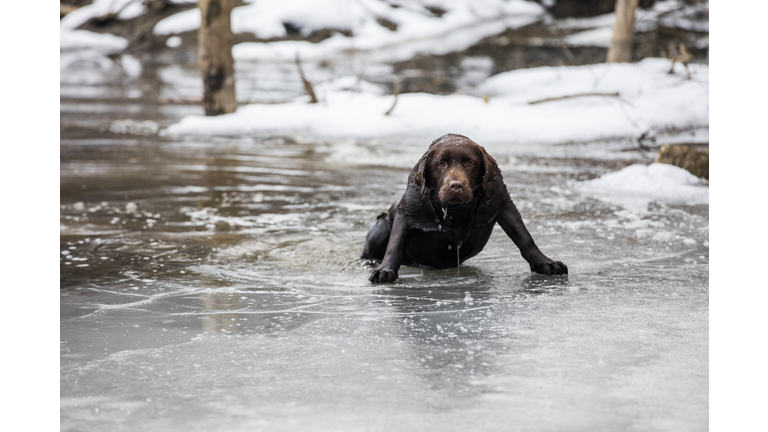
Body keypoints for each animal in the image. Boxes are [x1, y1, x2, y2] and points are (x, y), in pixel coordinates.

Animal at [358, 133, 564, 286]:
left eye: (470, 163)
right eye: (441, 163)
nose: (456, 185)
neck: (456, 210)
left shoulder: (503, 202)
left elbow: (524, 238)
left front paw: (545, 262)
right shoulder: (407, 211)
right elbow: (395, 243)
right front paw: (385, 271)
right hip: (381, 226)